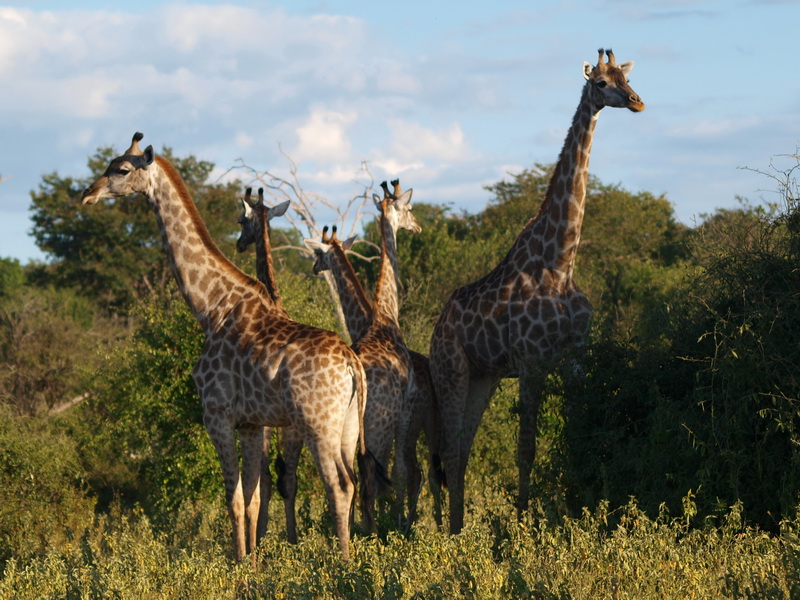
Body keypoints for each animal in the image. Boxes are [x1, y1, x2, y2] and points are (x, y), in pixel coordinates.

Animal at [81, 132, 368, 564]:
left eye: (123, 169)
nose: (87, 194)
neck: (210, 307)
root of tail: (352, 364)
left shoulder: (215, 413)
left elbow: (232, 499)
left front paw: (238, 562)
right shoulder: (250, 423)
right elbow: (253, 498)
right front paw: (253, 560)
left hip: (316, 422)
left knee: (338, 485)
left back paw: (343, 564)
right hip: (348, 424)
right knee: (352, 481)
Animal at [428, 49, 648, 532]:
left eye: (625, 77)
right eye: (601, 82)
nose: (638, 101)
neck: (561, 262)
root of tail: (436, 329)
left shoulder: (575, 357)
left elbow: (577, 434)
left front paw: (574, 510)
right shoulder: (531, 362)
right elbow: (526, 449)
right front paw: (523, 525)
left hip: (484, 376)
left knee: (463, 448)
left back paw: (458, 528)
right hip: (451, 369)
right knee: (448, 449)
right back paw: (450, 535)